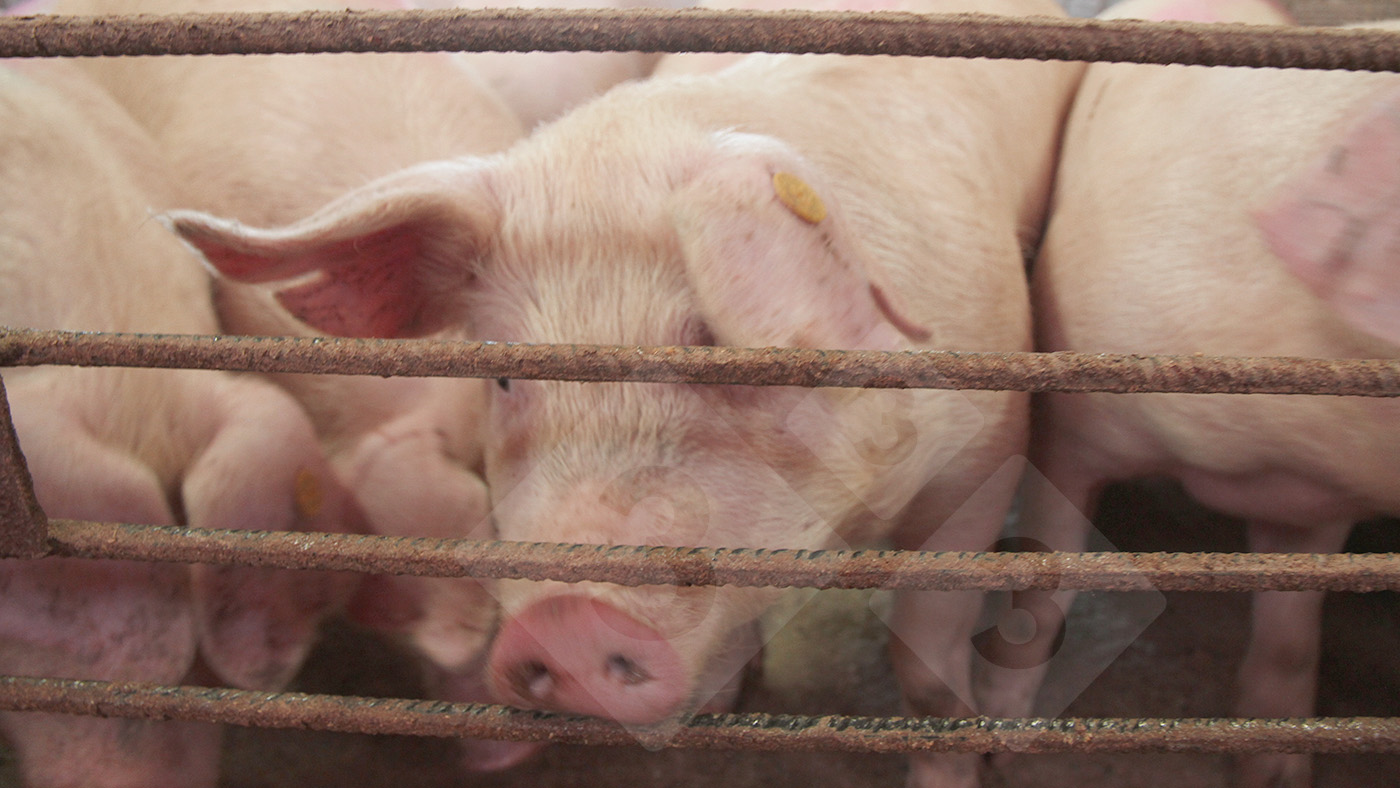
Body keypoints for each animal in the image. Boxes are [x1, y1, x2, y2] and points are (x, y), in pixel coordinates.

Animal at [164, 0, 1084, 783]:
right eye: (506, 373)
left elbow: (925, 671)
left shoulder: (986, 457)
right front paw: (729, 696)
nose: (566, 621)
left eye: (725, 355)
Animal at [971, 1, 1400, 787]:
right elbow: (1047, 579)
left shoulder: (1317, 502)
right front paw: (997, 743)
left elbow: (1290, 644)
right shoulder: (1075, 412)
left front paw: (1276, 771)